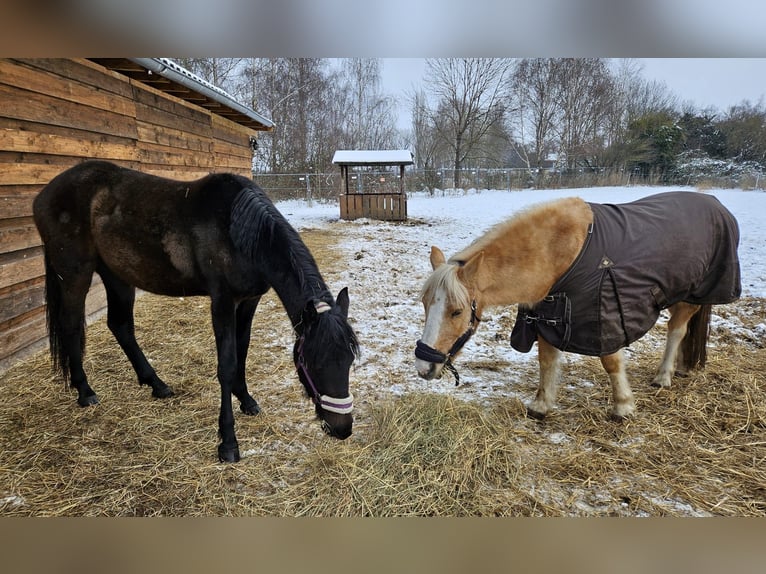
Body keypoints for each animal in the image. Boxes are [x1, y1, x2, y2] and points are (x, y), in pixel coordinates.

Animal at [33, 160, 359, 463]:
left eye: (349, 360)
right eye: (312, 362)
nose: (342, 429)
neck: (238, 230)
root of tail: (43, 195)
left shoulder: (249, 301)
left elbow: (242, 351)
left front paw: (246, 400)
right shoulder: (223, 302)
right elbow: (226, 365)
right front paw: (228, 443)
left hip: (117, 276)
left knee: (120, 325)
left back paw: (157, 385)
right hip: (74, 273)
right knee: (71, 325)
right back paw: (85, 391)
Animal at [415, 192, 741, 421]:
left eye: (457, 311)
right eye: (425, 305)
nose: (423, 367)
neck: (561, 252)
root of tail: (715, 204)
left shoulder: (603, 315)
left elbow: (611, 361)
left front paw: (623, 406)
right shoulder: (547, 317)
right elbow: (547, 360)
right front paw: (541, 405)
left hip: (691, 296)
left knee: (677, 330)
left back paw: (663, 376)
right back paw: (682, 368)